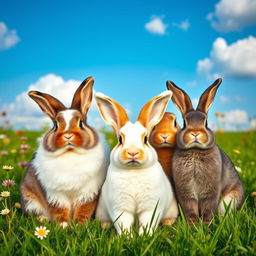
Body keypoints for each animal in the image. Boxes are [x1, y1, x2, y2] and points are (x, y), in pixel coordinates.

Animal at [94, 91, 178, 235]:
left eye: (145, 139)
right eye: (120, 139)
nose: (133, 153)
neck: (134, 170)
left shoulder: (151, 206)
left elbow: (148, 222)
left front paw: (145, 236)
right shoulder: (120, 207)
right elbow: (124, 223)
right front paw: (128, 237)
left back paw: (168, 222)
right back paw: (105, 225)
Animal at [166, 79, 244, 225]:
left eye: (206, 123)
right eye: (184, 123)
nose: (195, 133)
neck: (195, 150)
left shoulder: (211, 192)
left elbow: (208, 208)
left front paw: (206, 225)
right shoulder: (186, 192)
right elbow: (190, 209)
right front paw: (193, 225)